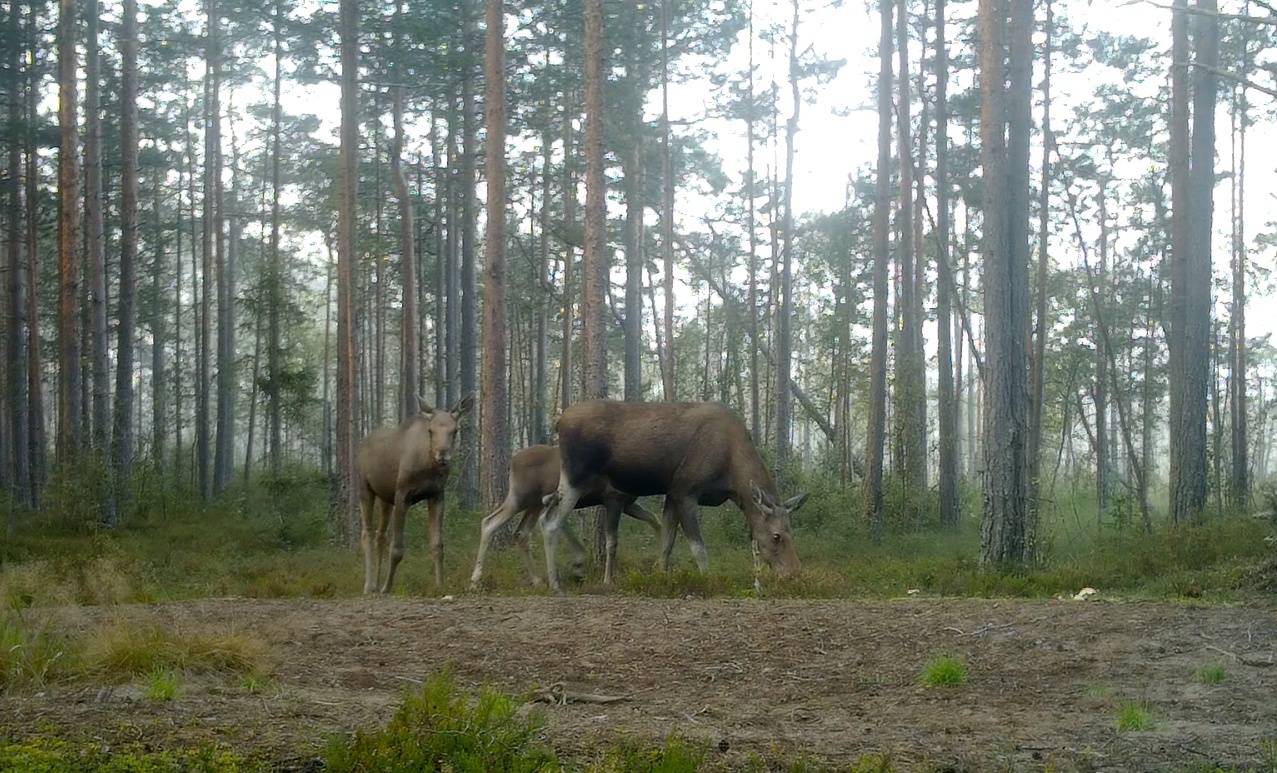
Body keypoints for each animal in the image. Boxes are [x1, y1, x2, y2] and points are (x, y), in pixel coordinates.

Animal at [355, 396, 475, 592]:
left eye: (455, 430)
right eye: (430, 431)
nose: (442, 454)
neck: (428, 466)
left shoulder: (436, 496)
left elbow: (437, 546)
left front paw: (440, 586)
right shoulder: (402, 495)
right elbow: (397, 549)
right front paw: (387, 588)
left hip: (385, 498)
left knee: (381, 536)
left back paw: (376, 583)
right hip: (365, 489)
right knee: (367, 534)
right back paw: (369, 585)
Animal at [538, 401, 807, 592]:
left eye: (792, 532)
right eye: (776, 536)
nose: (794, 573)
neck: (732, 478)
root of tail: (560, 421)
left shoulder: (672, 493)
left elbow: (667, 541)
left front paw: (660, 575)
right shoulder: (686, 490)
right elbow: (698, 547)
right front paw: (708, 580)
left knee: (545, 514)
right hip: (576, 476)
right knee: (550, 521)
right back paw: (555, 584)